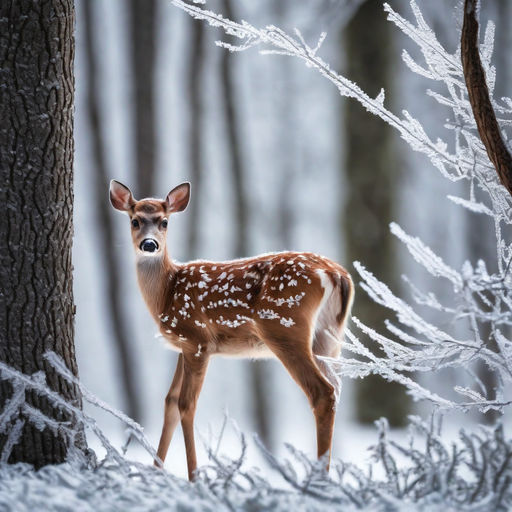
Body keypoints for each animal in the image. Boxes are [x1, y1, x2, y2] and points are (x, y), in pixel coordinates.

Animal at [110, 180, 354, 480]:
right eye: (134, 221)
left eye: (164, 222)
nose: (149, 244)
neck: (166, 293)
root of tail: (335, 275)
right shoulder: (183, 345)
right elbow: (170, 402)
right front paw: (155, 473)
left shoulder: (197, 339)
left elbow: (186, 405)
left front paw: (194, 477)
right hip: (329, 336)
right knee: (337, 388)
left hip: (285, 329)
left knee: (322, 392)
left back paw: (318, 479)